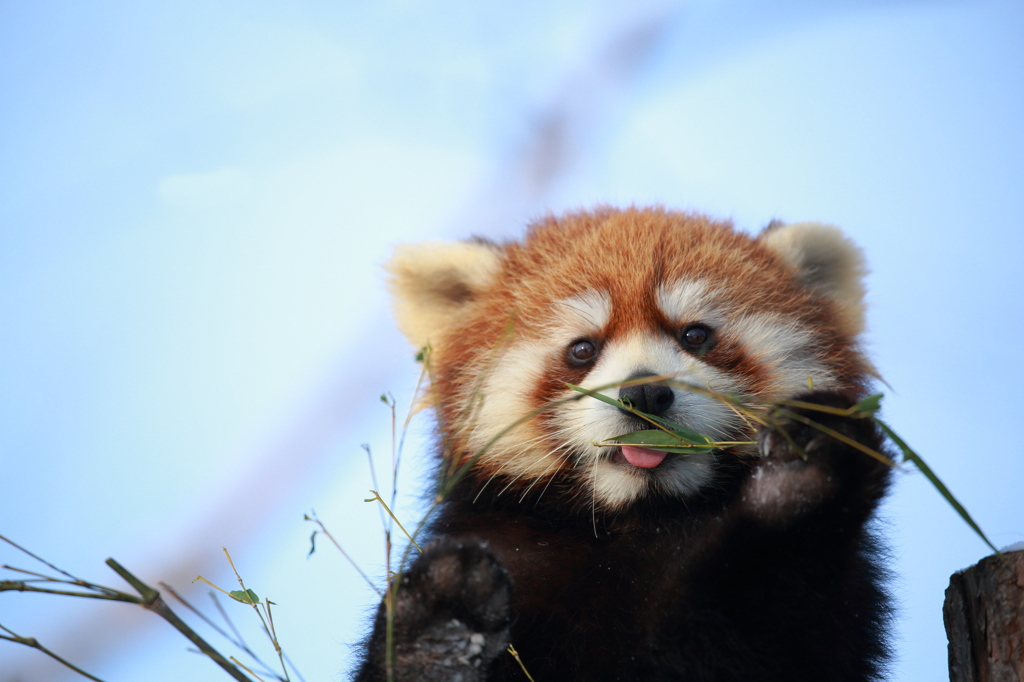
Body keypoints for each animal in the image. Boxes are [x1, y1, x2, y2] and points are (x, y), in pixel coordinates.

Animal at [356, 206, 892, 679]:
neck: (638, 519)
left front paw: (798, 484)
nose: (645, 394)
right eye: (582, 349)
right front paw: (437, 627)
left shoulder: (838, 607)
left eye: (695, 335)